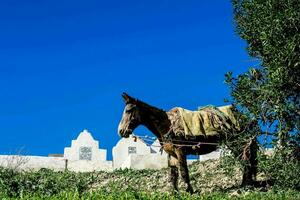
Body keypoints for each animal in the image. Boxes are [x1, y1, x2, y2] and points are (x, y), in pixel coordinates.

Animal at [117, 93, 258, 193]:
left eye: (128, 110)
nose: (121, 131)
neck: (167, 124)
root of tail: (242, 116)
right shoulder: (172, 154)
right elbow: (173, 174)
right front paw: (175, 193)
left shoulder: (180, 150)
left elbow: (184, 171)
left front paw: (189, 190)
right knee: (245, 160)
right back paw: (245, 183)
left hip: (237, 143)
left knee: (246, 160)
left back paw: (246, 185)